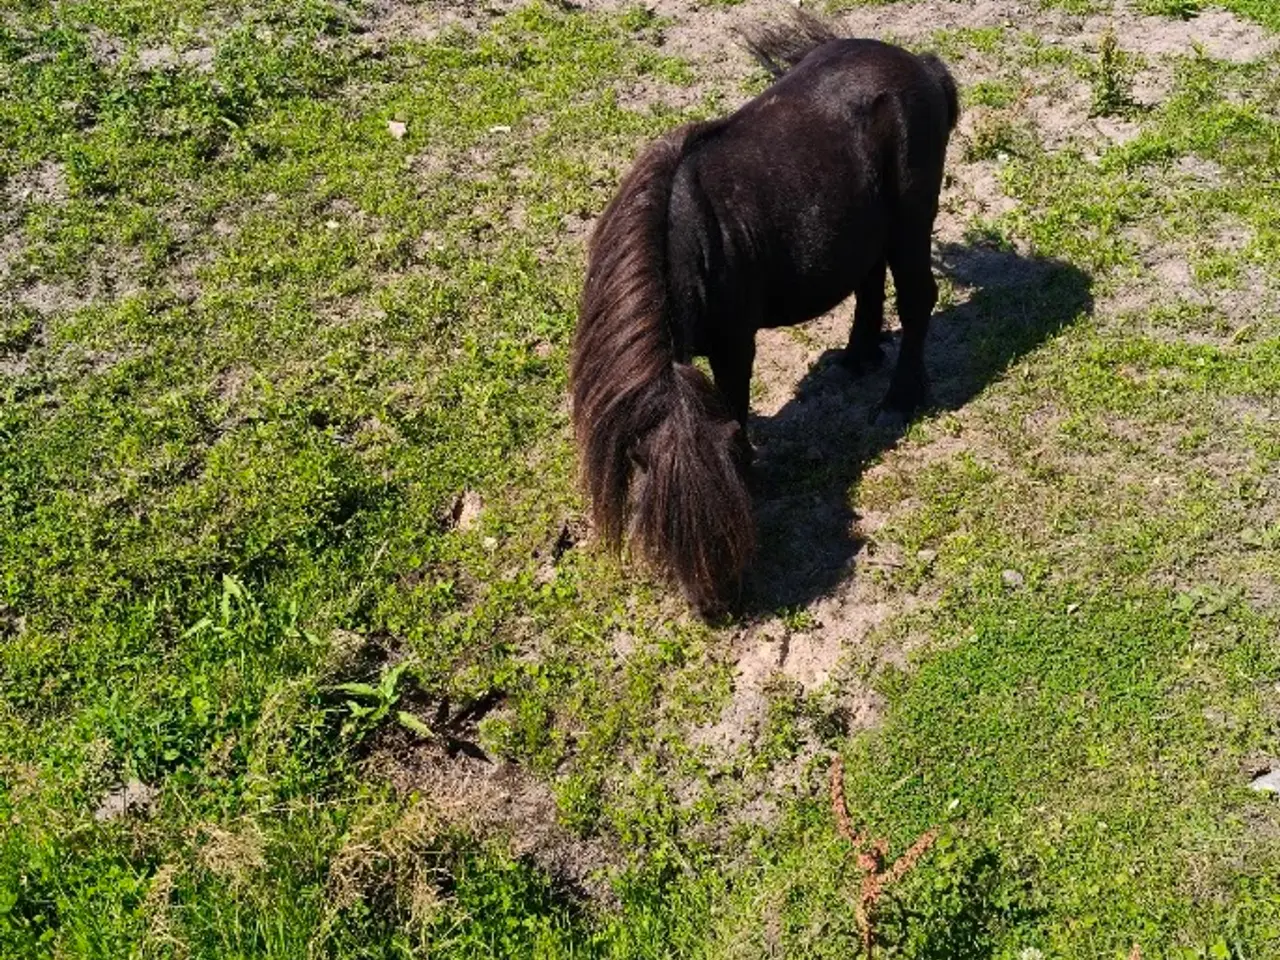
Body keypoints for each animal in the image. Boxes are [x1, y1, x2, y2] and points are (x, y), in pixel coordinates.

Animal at [571, 11, 959, 616]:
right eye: (664, 532)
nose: (716, 608)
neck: (683, 240)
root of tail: (921, 64)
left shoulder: (735, 343)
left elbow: (734, 403)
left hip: (910, 224)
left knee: (918, 300)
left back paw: (898, 400)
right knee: (869, 282)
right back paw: (857, 356)